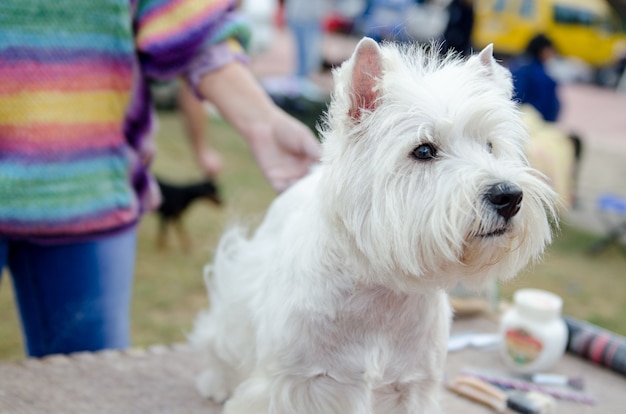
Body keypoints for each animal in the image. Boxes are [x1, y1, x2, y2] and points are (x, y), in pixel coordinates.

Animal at [190, 37, 556, 412]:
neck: (382, 296)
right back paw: (215, 382)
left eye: (490, 146)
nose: (508, 196)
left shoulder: (413, 386)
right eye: (424, 150)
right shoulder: (294, 381)